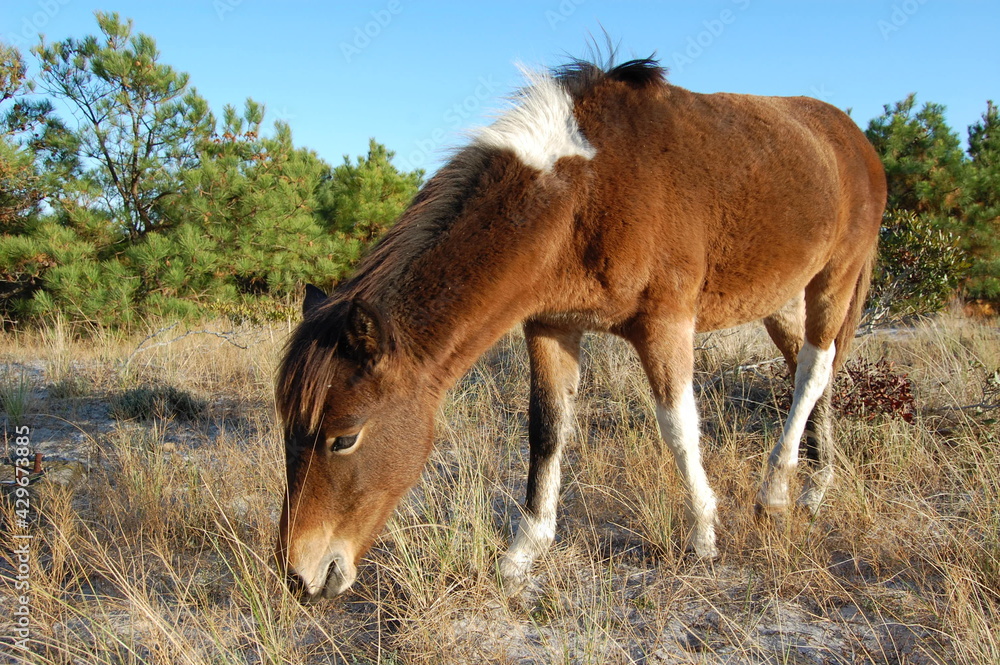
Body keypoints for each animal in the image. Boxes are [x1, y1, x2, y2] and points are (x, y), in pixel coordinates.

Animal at [274, 57, 886, 599]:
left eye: (344, 438)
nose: (301, 576)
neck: (584, 190)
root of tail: (855, 140)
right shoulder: (551, 326)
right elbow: (546, 430)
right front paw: (521, 555)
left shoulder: (665, 324)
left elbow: (679, 428)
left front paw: (704, 537)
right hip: (780, 299)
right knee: (813, 370)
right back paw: (813, 488)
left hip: (834, 280)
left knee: (811, 373)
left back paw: (777, 493)